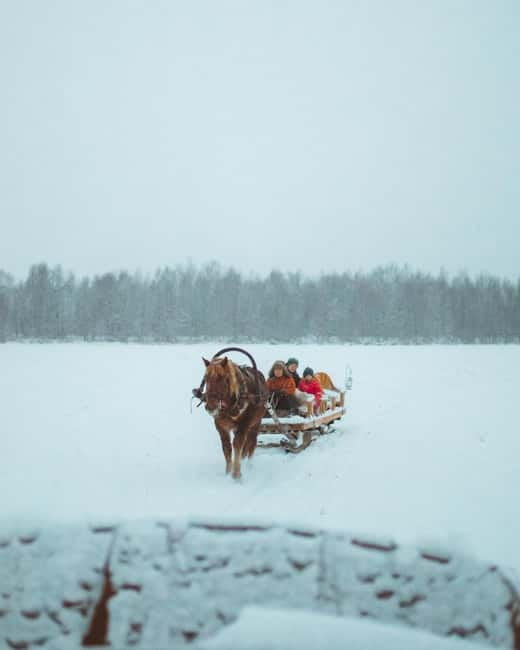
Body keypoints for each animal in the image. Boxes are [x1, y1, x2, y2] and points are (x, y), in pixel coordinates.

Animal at [196, 350, 268, 480]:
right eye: (206, 378)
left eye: (223, 378)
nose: (211, 406)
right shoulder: (220, 426)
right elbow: (227, 448)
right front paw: (228, 472)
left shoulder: (244, 424)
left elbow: (237, 445)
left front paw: (236, 474)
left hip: (256, 423)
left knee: (252, 442)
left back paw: (249, 464)